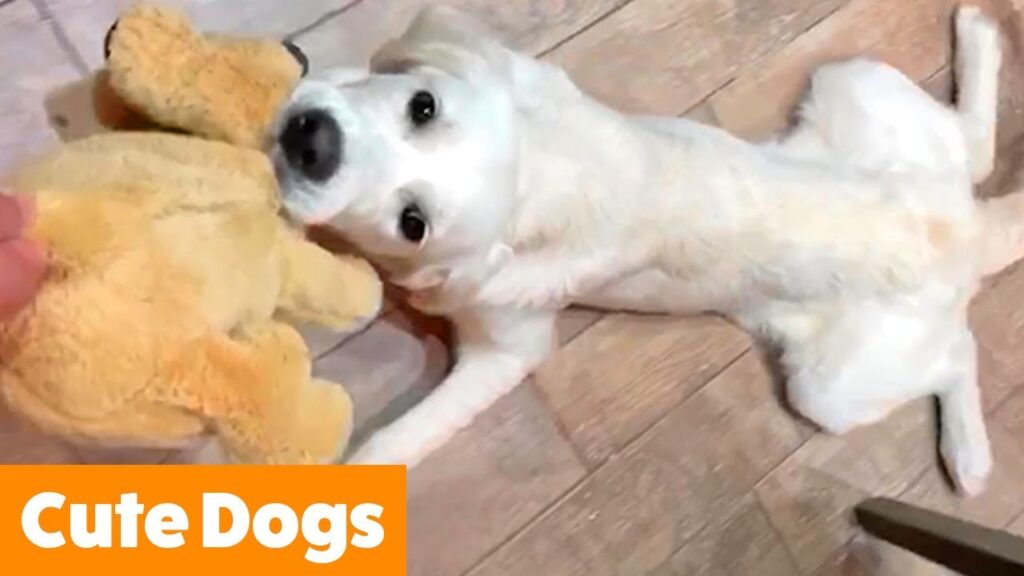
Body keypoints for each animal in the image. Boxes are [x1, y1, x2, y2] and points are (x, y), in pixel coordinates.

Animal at [270, 3, 1015, 494]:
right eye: (421, 104)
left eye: (414, 222)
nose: (312, 140)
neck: (546, 166)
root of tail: (968, 226)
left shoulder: (506, 340)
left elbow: (404, 433)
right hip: (855, 80)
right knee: (972, 147)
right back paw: (980, 36)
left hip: (833, 386)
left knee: (955, 353)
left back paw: (969, 455)